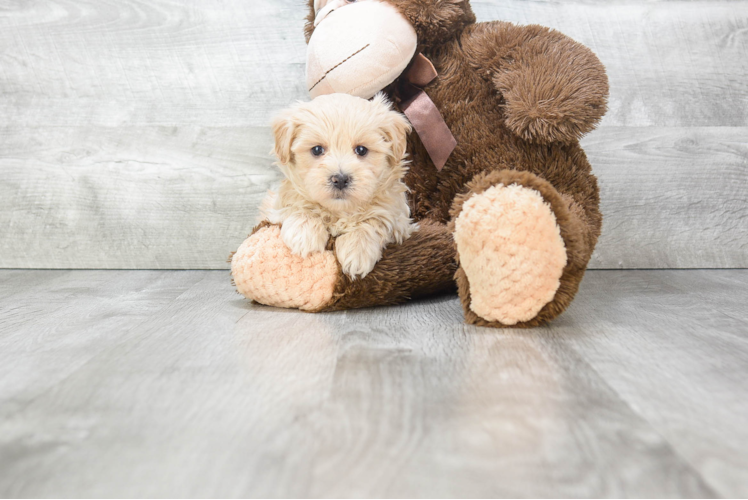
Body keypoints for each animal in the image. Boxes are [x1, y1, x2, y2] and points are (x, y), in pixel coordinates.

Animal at [262, 92, 414, 280]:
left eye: (361, 150)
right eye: (317, 150)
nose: (340, 179)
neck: (339, 211)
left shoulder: (398, 219)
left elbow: (375, 220)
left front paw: (357, 250)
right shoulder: (276, 205)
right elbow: (299, 206)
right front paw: (304, 234)